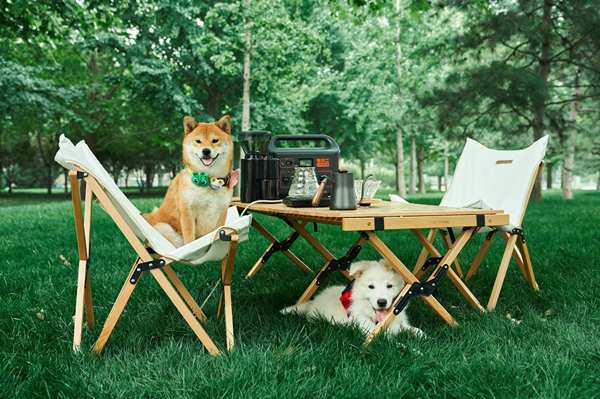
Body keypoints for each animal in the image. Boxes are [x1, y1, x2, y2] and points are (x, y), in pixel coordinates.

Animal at [144, 115, 238, 247]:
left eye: (215, 140)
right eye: (198, 141)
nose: (206, 151)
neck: (208, 179)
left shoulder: (222, 212)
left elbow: (218, 232)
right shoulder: (187, 212)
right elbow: (190, 240)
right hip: (164, 227)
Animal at [280, 260, 422, 338]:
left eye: (389, 286)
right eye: (371, 286)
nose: (382, 302)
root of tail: (313, 301)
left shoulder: (400, 323)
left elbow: (414, 330)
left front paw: (421, 336)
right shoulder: (371, 332)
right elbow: (399, 345)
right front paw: (416, 351)